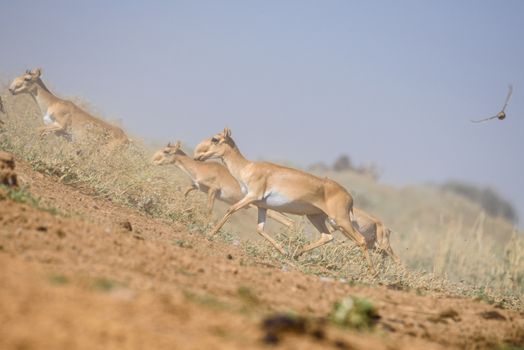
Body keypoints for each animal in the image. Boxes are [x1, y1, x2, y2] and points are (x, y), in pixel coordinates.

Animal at [150, 141, 294, 228]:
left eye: (166, 151)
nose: (153, 160)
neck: (199, 168)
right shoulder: (196, 186)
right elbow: (185, 192)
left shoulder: (213, 190)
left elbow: (209, 208)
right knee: (289, 221)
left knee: (289, 222)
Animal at [194, 129, 374, 274]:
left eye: (215, 139)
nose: (197, 155)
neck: (247, 168)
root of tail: (349, 197)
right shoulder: (261, 207)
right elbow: (259, 229)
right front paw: (283, 250)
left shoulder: (251, 197)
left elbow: (230, 210)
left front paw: (210, 233)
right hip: (316, 217)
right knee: (327, 236)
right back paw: (296, 253)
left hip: (341, 221)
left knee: (361, 240)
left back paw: (372, 273)